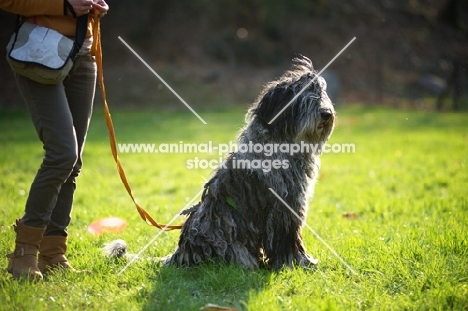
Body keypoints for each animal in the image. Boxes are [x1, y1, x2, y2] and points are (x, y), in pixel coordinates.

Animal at [163, 56, 334, 270]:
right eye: (303, 98)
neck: (280, 143)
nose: (327, 113)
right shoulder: (284, 206)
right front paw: (297, 262)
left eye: (321, 94)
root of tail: (182, 253)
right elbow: (289, 239)